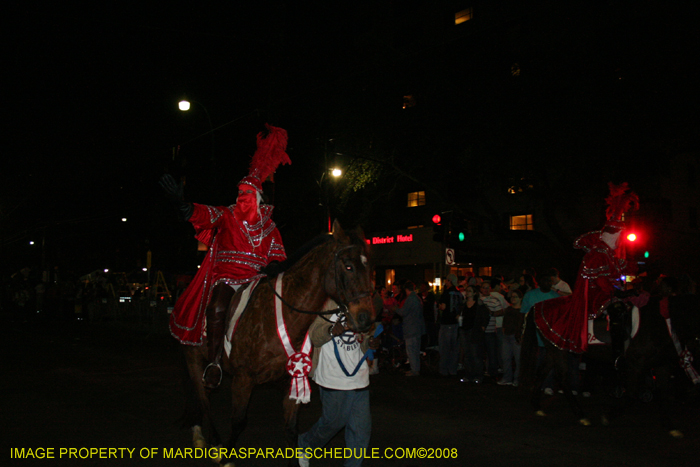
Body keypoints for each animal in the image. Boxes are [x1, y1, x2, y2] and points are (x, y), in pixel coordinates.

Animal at [182, 222, 378, 464]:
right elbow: (238, 422)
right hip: (193, 357)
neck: (281, 315)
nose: (366, 318)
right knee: (203, 399)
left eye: (370, 268)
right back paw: (209, 439)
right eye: (348, 266)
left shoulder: (292, 379)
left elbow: (291, 430)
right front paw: (226, 457)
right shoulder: (243, 379)